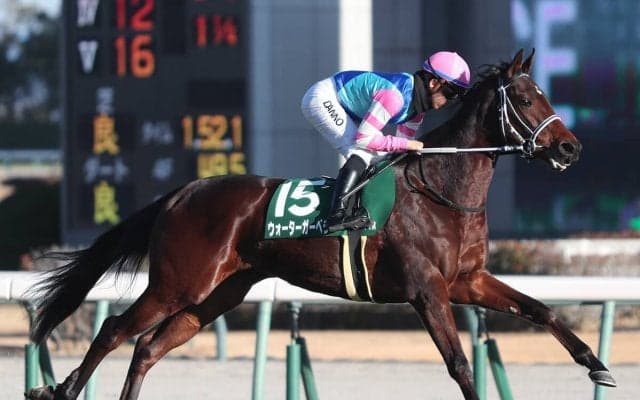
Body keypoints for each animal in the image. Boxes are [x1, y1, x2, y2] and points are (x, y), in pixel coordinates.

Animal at [26, 49, 615, 400]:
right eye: (525, 97)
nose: (571, 148)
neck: (444, 191)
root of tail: (182, 192)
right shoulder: (427, 289)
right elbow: (460, 363)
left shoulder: (466, 280)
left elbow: (540, 309)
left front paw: (596, 365)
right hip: (178, 283)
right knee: (113, 329)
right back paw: (65, 389)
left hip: (216, 295)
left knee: (147, 347)